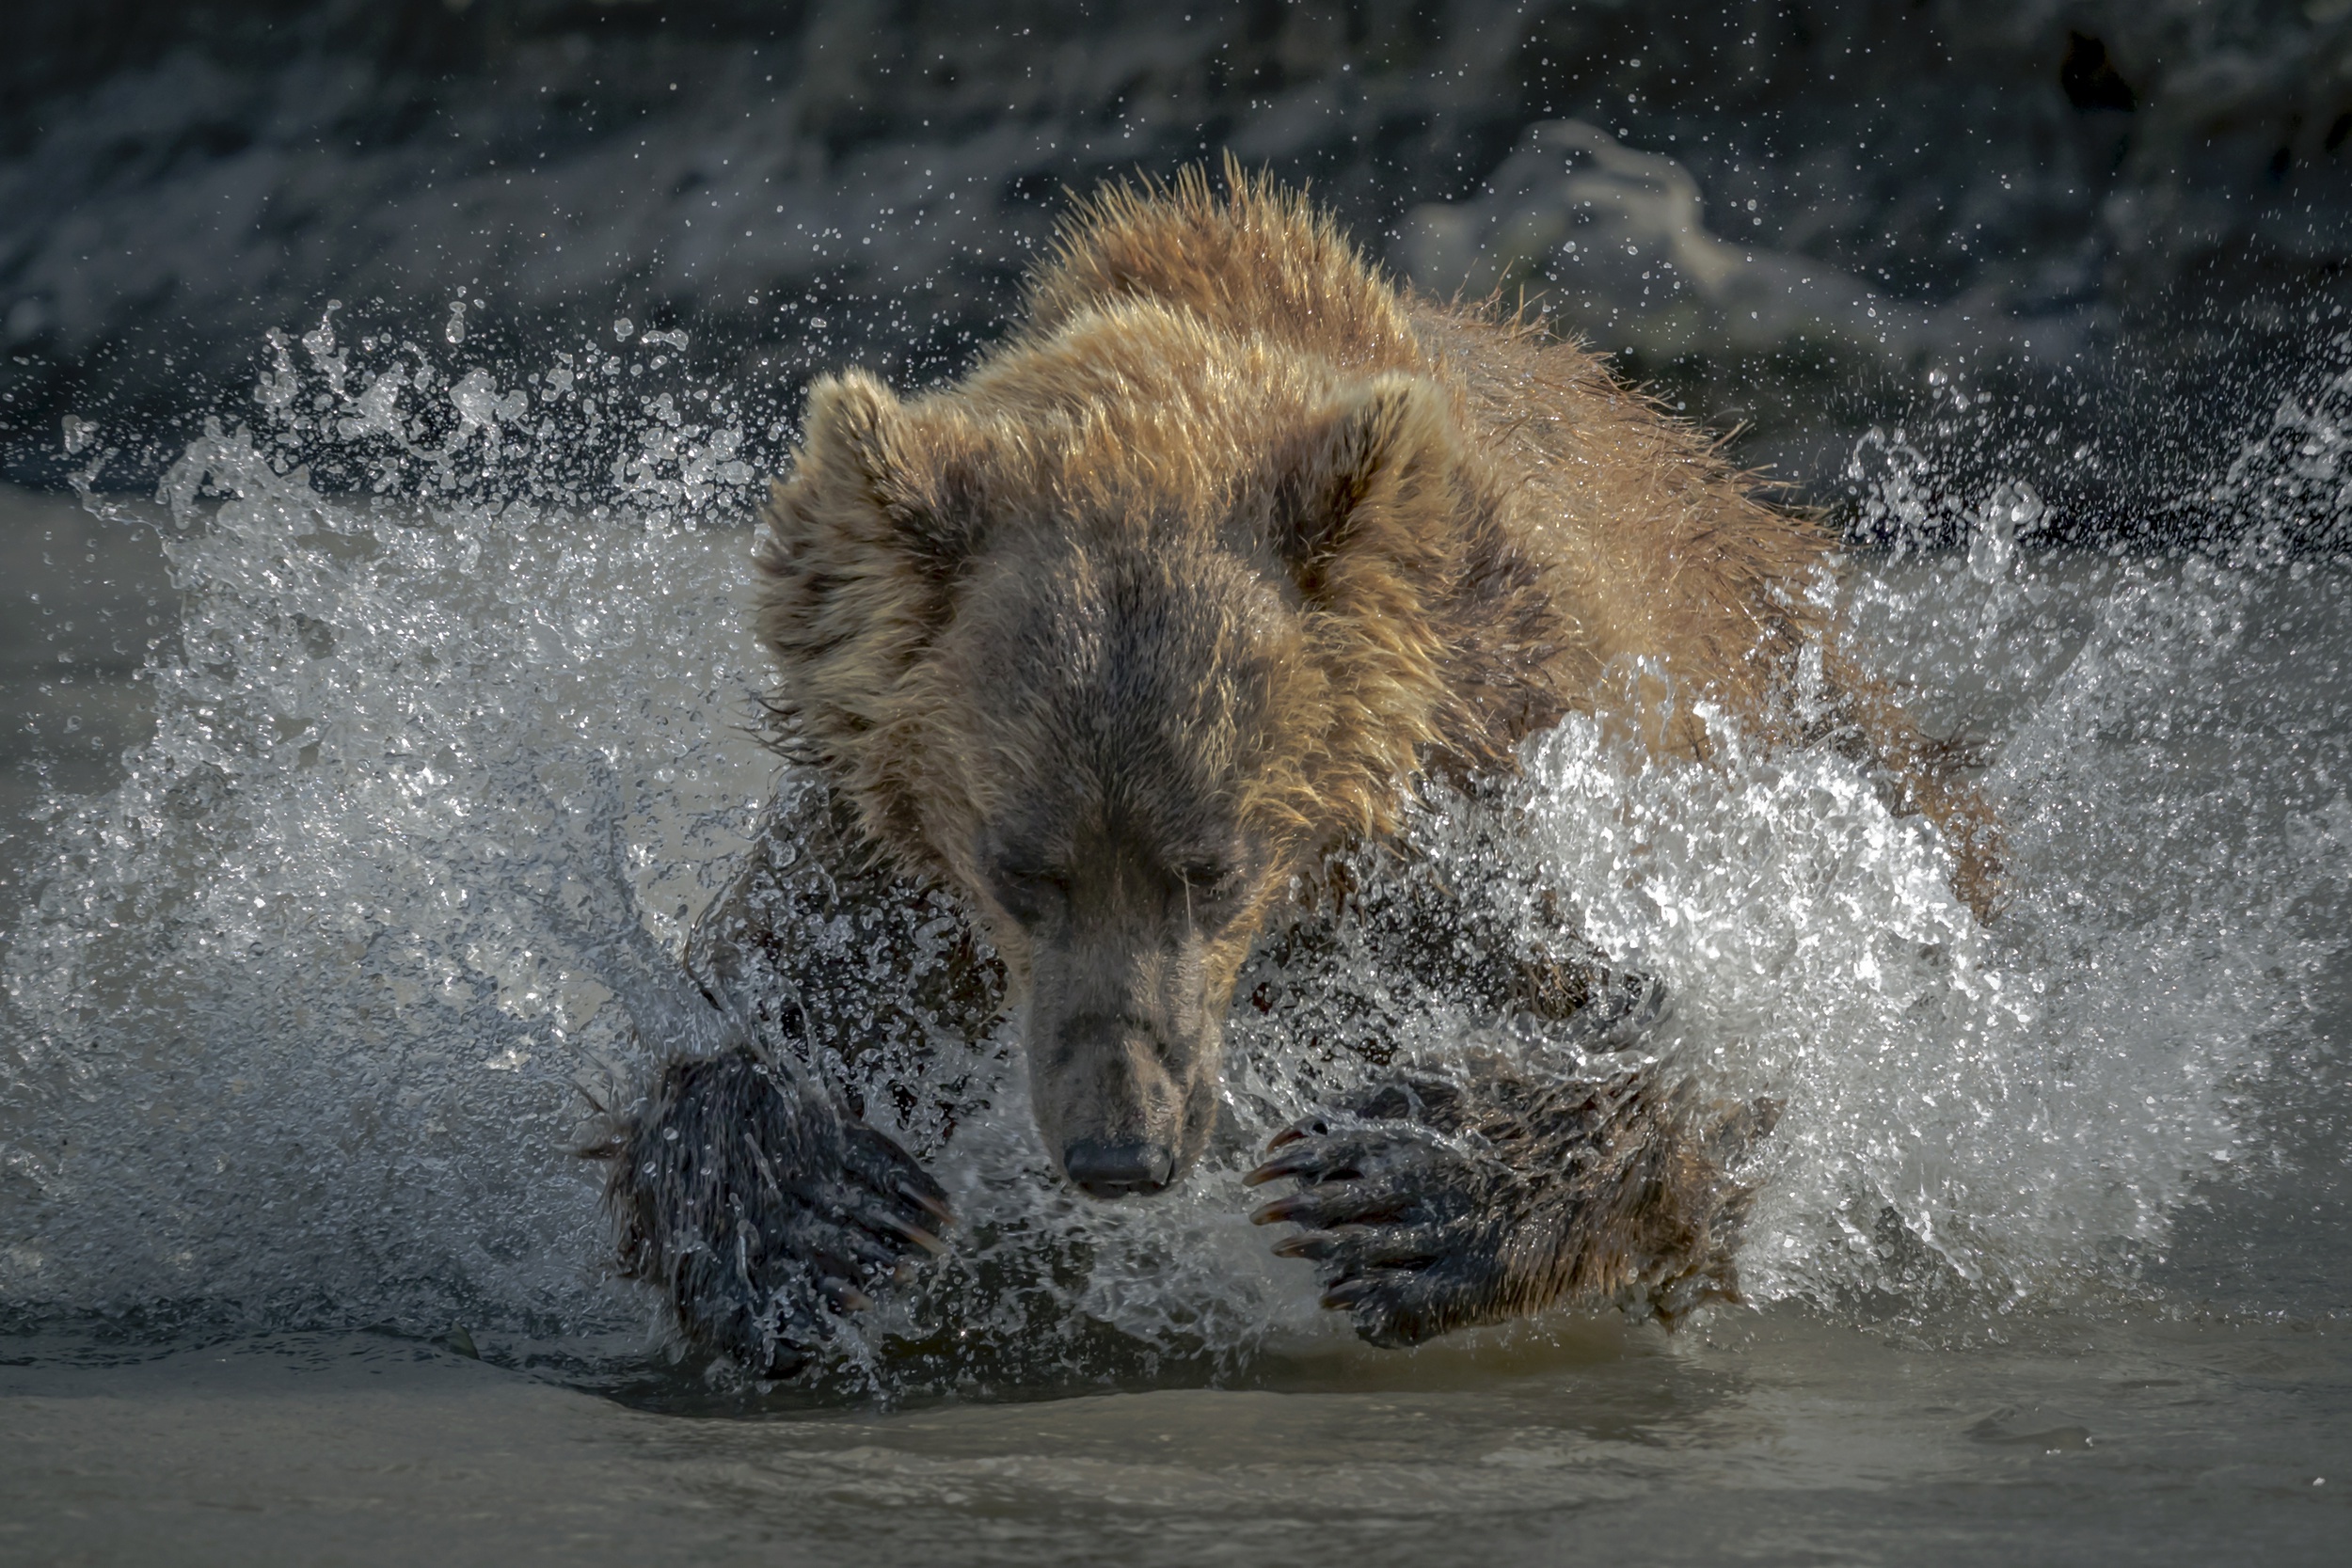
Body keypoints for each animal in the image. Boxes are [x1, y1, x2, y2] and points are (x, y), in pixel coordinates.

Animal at [597, 166, 1994, 1382]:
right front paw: (802, 1206)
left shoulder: (1504, 781)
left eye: (1213, 864)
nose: (1122, 1149)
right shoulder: (884, 865)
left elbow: (1732, 1034)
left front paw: (1395, 1189)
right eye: (1019, 868)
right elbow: (752, 1001)